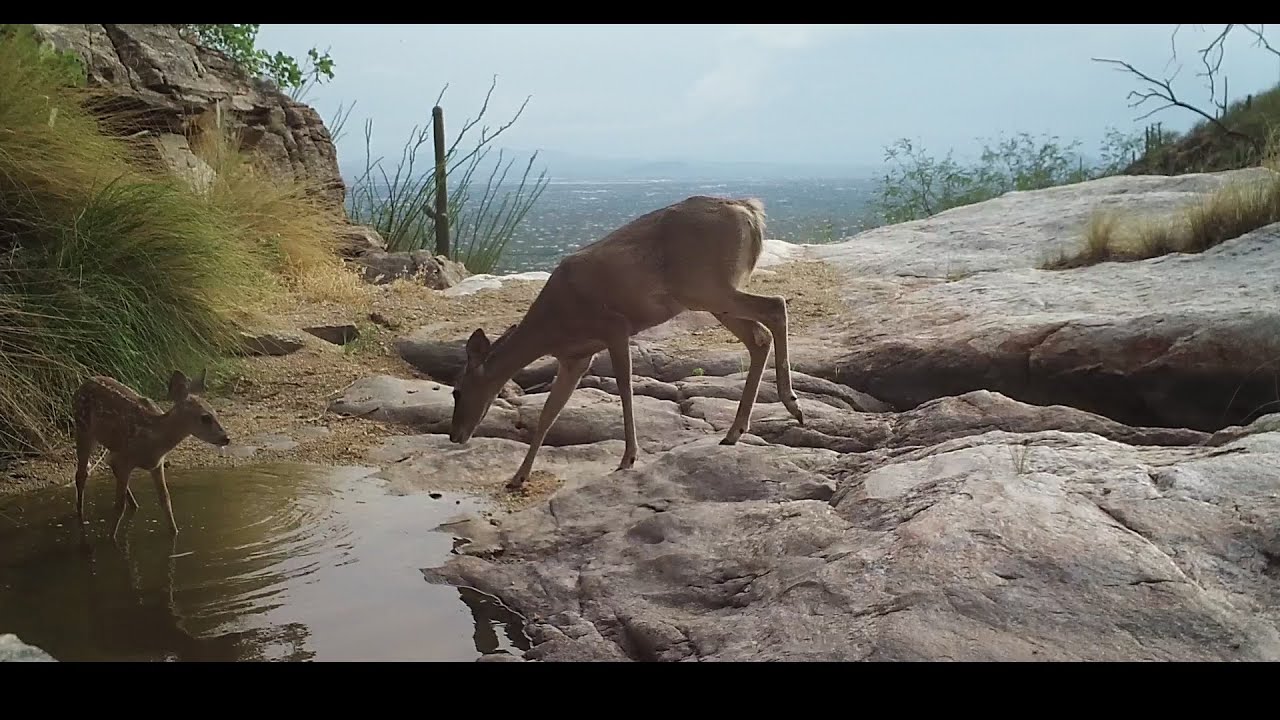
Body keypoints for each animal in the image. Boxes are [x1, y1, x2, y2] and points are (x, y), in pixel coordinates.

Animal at [72, 369, 231, 538]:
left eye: (215, 412)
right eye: (205, 417)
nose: (226, 438)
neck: (153, 440)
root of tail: (83, 384)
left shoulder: (156, 464)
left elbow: (165, 499)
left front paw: (174, 532)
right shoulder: (126, 460)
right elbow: (119, 506)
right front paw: (111, 538)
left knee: (107, 464)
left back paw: (134, 505)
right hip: (83, 428)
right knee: (81, 474)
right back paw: (80, 515)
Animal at [449, 194, 806, 492]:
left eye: (458, 391)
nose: (454, 436)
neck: (554, 325)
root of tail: (749, 211)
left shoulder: (615, 327)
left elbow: (624, 389)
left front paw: (628, 458)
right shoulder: (575, 358)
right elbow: (549, 412)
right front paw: (517, 477)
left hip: (707, 287)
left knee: (775, 306)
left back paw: (791, 404)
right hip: (710, 296)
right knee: (759, 336)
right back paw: (735, 432)